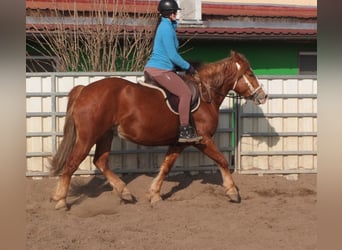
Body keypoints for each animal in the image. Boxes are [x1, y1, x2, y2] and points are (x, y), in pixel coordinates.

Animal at [48, 50, 268, 209]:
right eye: (250, 74)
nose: (263, 96)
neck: (206, 94)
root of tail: (84, 89)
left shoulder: (179, 142)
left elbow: (166, 166)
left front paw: (154, 194)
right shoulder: (203, 139)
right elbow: (222, 160)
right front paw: (232, 191)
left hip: (105, 135)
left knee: (100, 161)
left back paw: (124, 192)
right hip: (88, 137)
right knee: (72, 164)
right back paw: (61, 200)